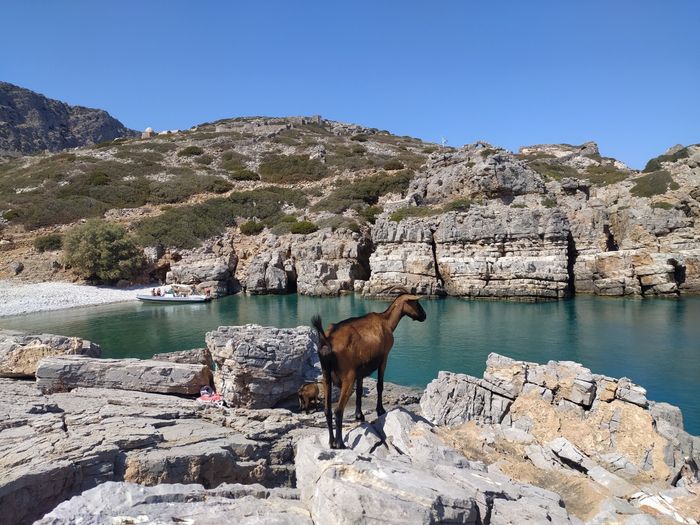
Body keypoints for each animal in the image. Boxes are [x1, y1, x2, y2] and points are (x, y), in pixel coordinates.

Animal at [312, 288, 426, 448]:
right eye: (415, 302)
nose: (424, 316)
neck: (386, 322)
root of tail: (327, 341)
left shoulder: (360, 370)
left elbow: (360, 391)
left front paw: (359, 415)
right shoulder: (384, 357)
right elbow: (379, 385)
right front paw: (380, 410)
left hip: (326, 375)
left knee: (327, 409)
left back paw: (331, 442)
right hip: (348, 376)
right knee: (338, 410)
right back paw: (340, 443)